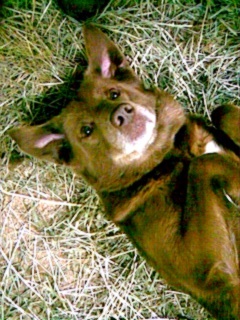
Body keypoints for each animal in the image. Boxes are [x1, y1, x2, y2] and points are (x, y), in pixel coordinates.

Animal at [8, 25, 239, 320]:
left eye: (114, 93)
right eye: (86, 130)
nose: (122, 114)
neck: (170, 155)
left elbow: (224, 111)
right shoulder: (209, 271)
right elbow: (205, 163)